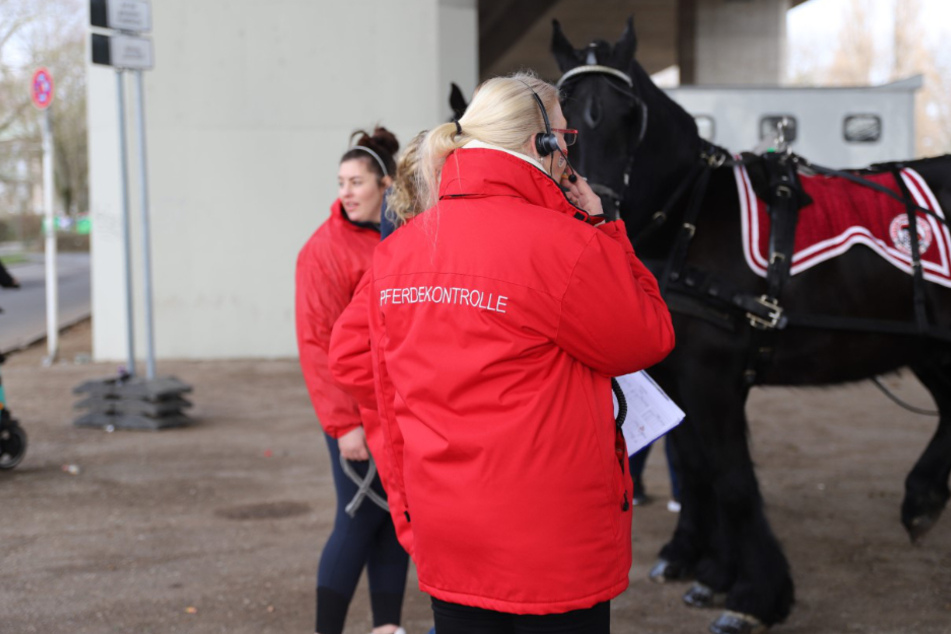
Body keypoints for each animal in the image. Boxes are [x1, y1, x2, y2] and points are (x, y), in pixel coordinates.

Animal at [552, 16, 951, 632]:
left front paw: (754, 595)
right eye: (564, 113)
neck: (689, 219)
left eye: (628, 113)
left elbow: (732, 479)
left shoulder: (712, 376)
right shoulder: (680, 374)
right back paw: (924, 497)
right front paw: (707, 567)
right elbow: (699, 470)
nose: (596, 211)